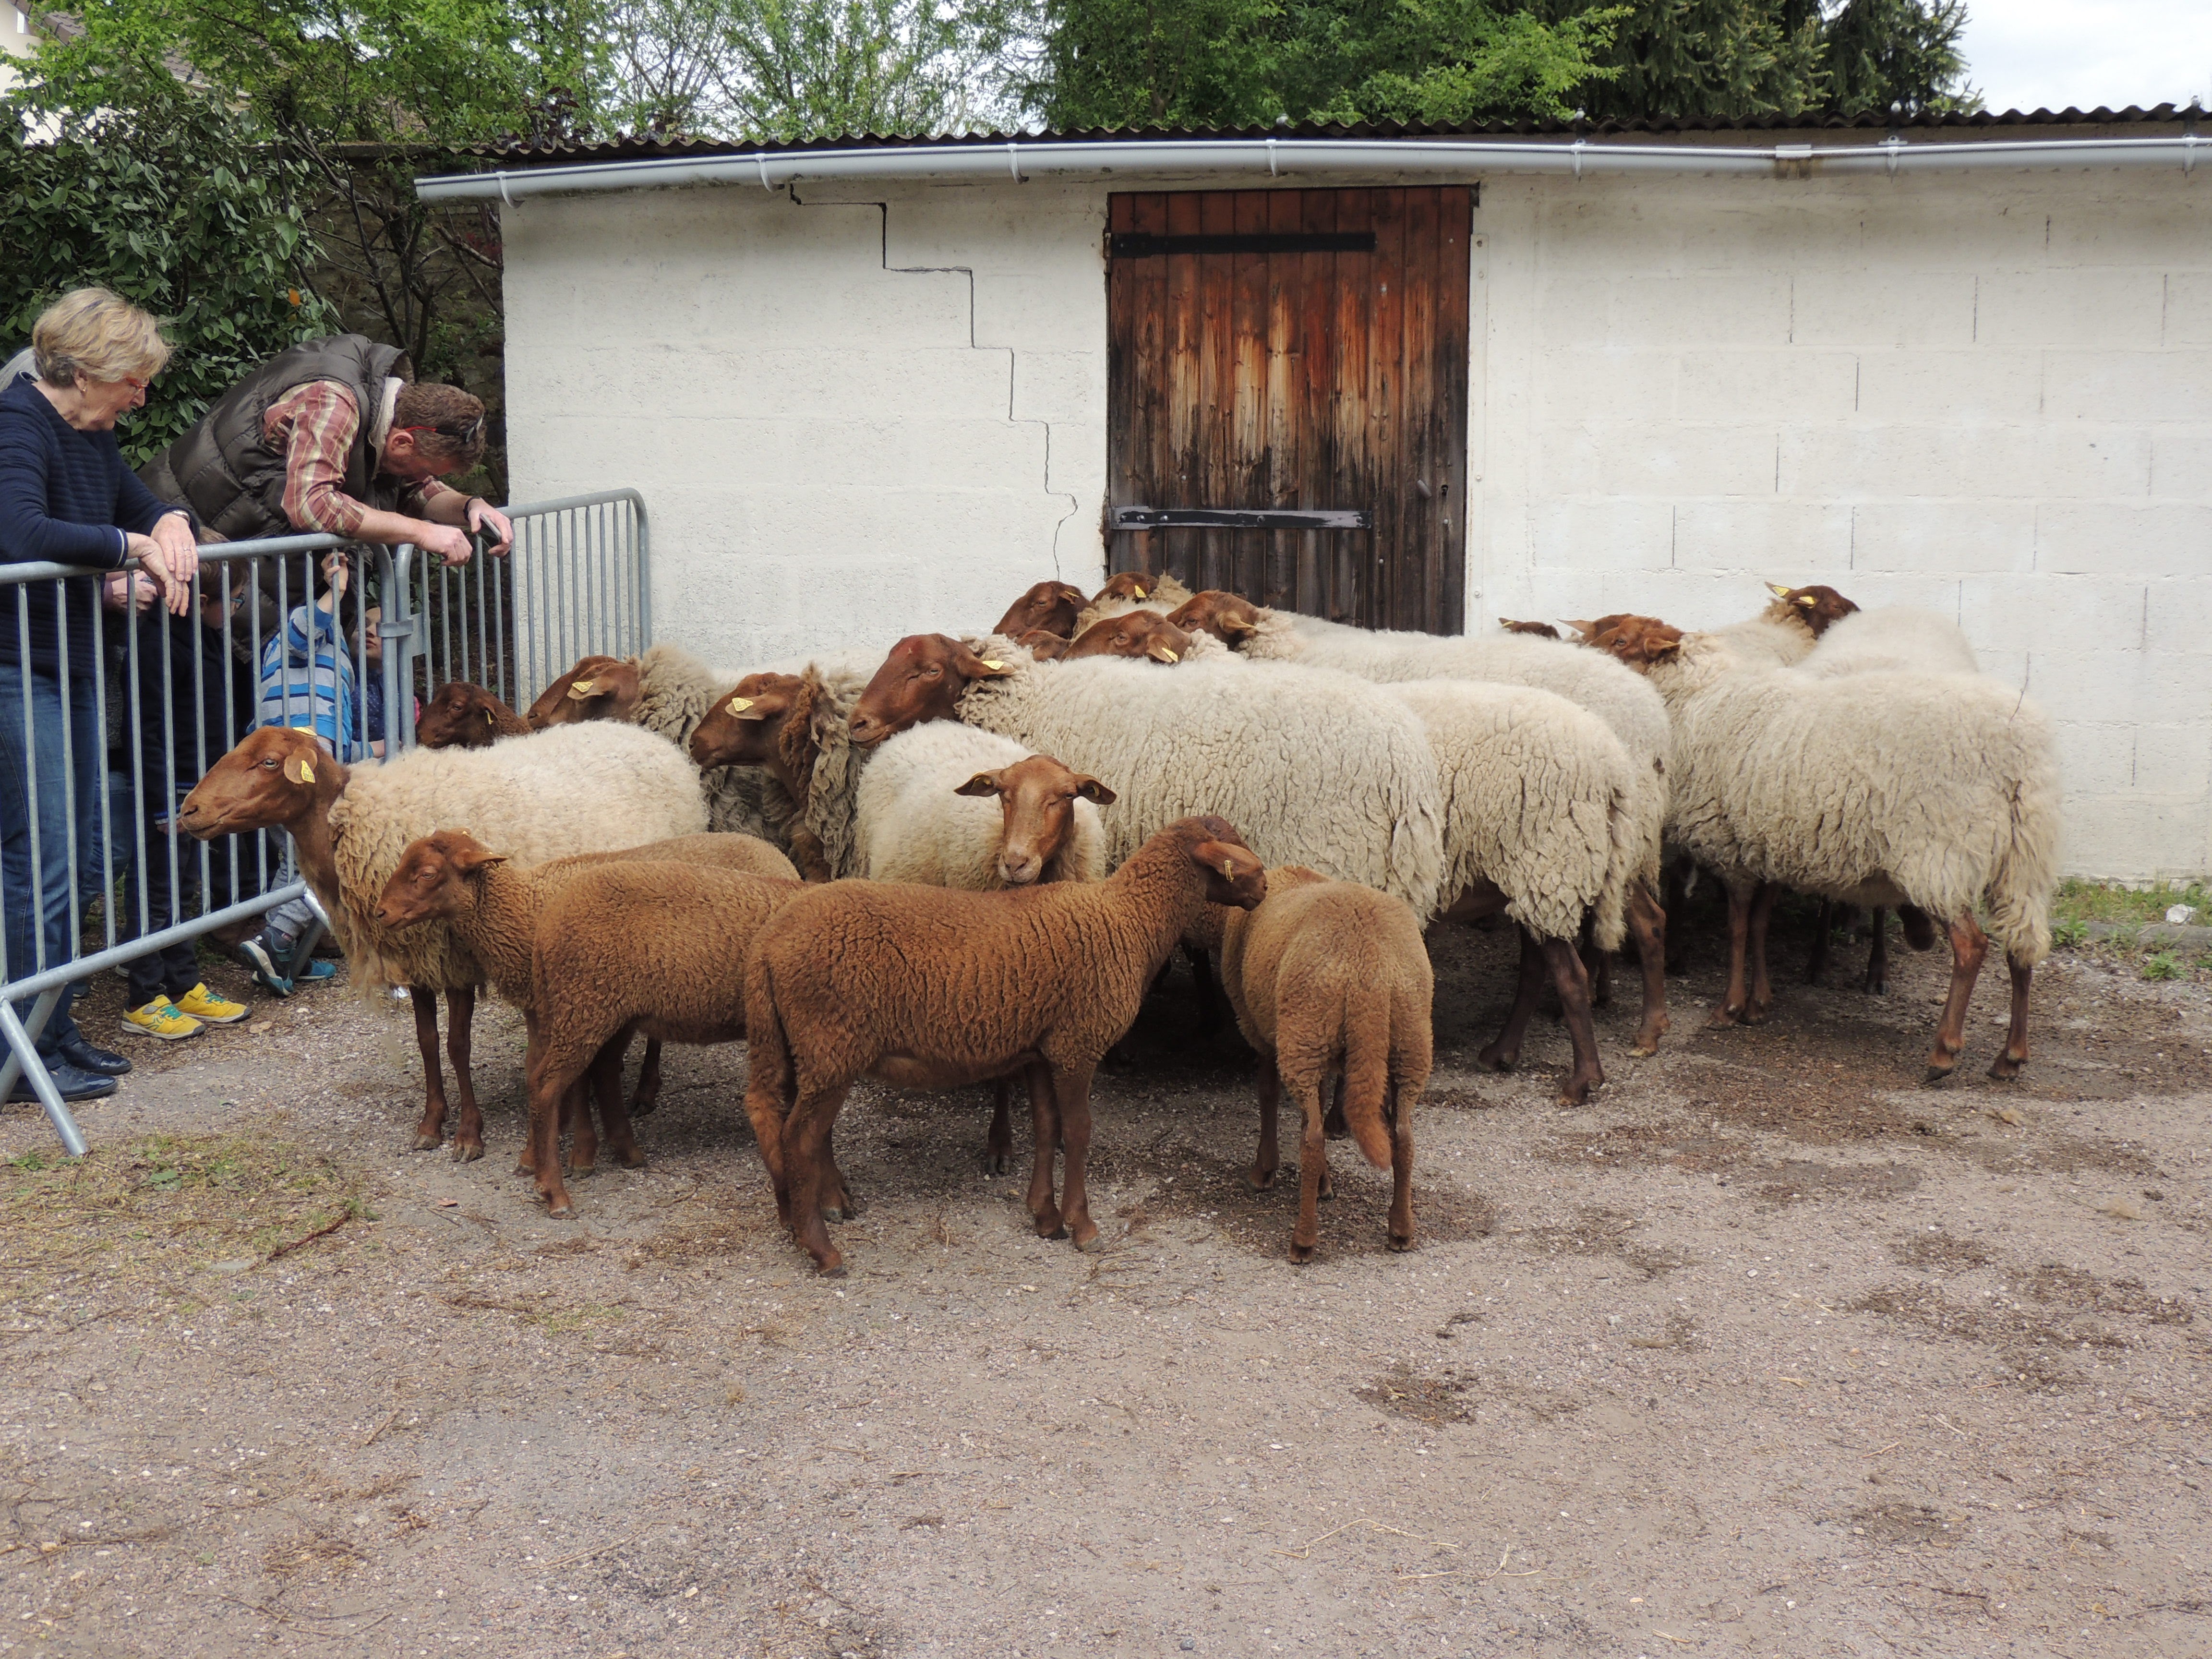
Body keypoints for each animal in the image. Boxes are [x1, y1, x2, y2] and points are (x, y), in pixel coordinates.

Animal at [176, 722, 708, 1158]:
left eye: (268, 762)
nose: (187, 810)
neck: (361, 827)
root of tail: (654, 741)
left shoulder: (454, 958)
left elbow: (458, 1045)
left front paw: (469, 1135)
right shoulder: (416, 959)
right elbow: (428, 1043)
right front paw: (431, 1125)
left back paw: (644, 1092)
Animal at [745, 816, 1269, 1273]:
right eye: (1233, 851)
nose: (1265, 889)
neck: (1129, 920)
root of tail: (769, 943)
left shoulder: (1040, 1049)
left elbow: (1046, 1128)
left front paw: (1045, 1217)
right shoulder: (1077, 1045)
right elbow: (1078, 1132)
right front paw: (1083, 1226)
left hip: (801, 1046)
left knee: (785, 1123)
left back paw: (805, 1214)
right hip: (831, 1041)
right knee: (799, 1138)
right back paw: (822, 1248)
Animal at [1169, 589, 1672, 1054]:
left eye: (1193, 620)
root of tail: (1645, 716)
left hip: (1568, 849)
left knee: (1633, 925)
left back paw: (1638, 1029)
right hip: (1600, 847)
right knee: (1643, 920)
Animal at [1217, 866, 1431, 1261]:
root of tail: (1370, 968)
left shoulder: (1263, 1030)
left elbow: (1269, 1094)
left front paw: (1264, 1172)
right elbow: (1313, 1104)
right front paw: (1323, 1186)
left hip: (1306, 1027)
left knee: (1313, 1141)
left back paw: (1303, 1241)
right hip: (1408, 1041)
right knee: (1404, 1139)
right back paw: (1401, 1230)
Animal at [1589, 615, 2059, 1082]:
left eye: (1621, 641)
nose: (1585, 654)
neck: (1700, 695)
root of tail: (2018, 752)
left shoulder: (1731, 844)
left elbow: (1738, 928)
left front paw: (1730, 1007)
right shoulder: (1768, 845)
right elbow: (1758, 925)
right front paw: (1759, 1005)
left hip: (1941, 853)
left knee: (1971, 947)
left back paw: (1944, 1052)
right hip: (2024, 859)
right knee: (2022, 946)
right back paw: (2010, 1057)